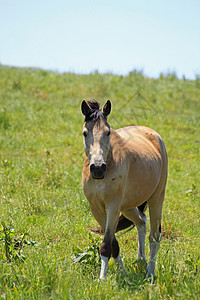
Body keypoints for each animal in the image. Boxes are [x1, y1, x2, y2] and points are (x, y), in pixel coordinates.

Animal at [81, 99, 167, 280]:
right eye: (85, 133)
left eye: (108, 132)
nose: (97, 168)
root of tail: (153, 135)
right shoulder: (97, 209)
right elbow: (113, 244)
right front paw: (123, 273)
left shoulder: (112, 207)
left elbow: (106, 245)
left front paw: (102, 278)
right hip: (128, 206)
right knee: (141, 222)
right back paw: (140, 259)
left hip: (156, 198)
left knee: (154, 237)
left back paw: (150, 274)